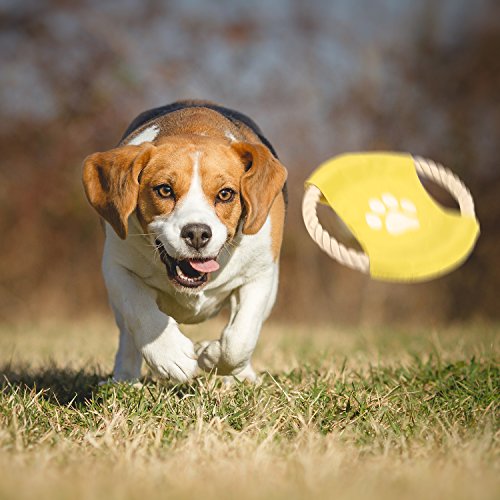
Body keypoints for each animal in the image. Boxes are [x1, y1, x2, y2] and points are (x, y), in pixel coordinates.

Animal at [81, 100, 286, 382]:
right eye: (165, 190)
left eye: (225, 194)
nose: (197, 233)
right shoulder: (117, 268)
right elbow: (139, 309)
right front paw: (170, 356)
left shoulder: (260, 274)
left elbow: (240, 339)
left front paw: (211, 356)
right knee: (128, 336)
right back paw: (124, 378)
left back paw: (242, 376)